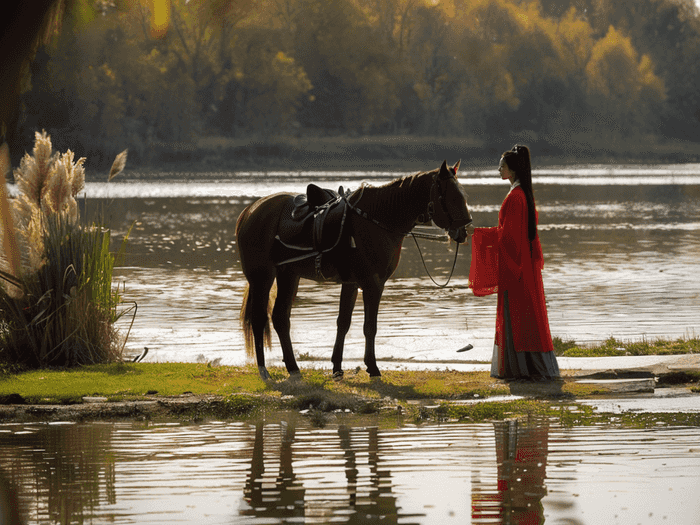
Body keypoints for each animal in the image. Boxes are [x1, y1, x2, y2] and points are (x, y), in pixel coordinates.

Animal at [238, 158, 474, 378]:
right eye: (452, 196)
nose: (463, 231)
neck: (377, 218)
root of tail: (250, 211)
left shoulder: (351, 283)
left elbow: (343, 323)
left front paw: (337, 367)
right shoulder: (373, 284)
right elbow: (370, 327)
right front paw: (372, 366)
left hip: (288, 275)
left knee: (280, 318)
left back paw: (293, 367)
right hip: (262, 277)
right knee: (259, 319)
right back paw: (263, 369)